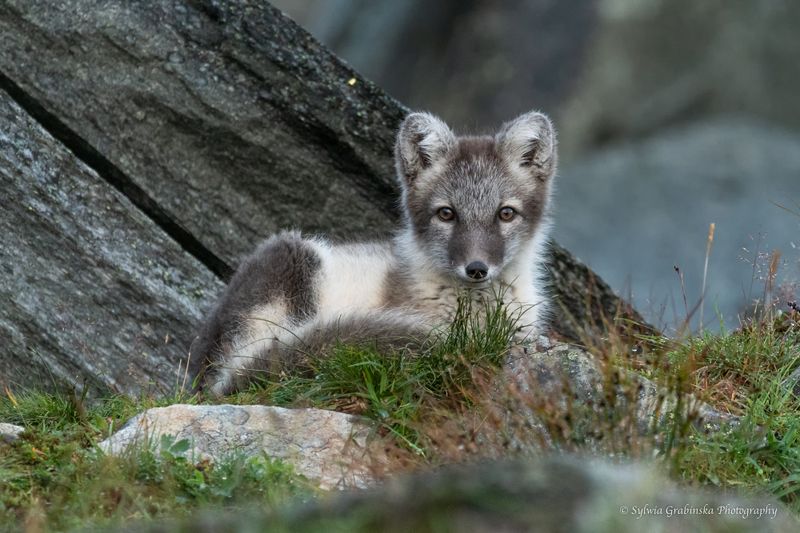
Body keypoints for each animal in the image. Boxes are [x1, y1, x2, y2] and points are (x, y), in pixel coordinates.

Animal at [189, 109, 558, 396]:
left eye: (505, 213)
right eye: (446, 214)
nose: (477, 268)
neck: (478, 311)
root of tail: (206, 382)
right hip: (293, 257)